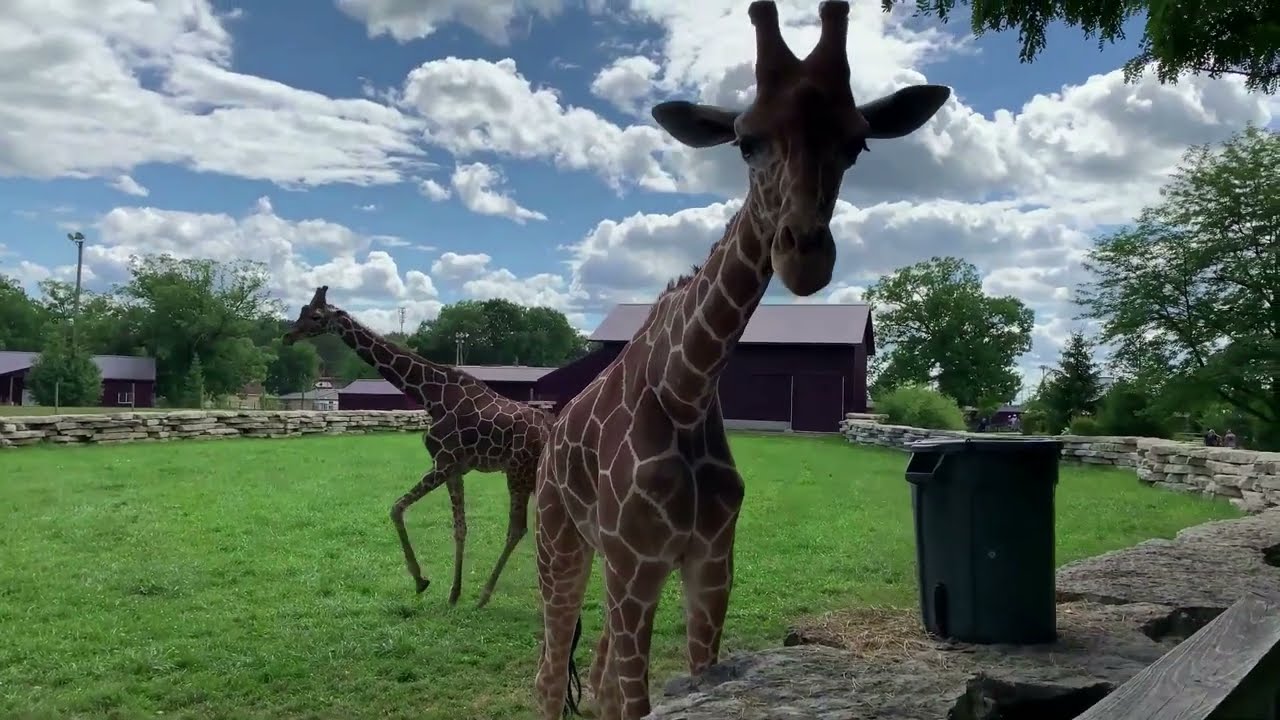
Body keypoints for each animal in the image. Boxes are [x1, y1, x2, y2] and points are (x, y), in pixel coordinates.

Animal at [283, 286, 551, 608]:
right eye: (302, 309)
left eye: (316, 316)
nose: (288, 336)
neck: (431, 395)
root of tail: (550, 429)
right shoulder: (454, 468)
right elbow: (460, 527)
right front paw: (452, 592)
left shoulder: (444, 462)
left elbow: (396, 508)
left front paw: (421, 580)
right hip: (533, 475)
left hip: (517, 471)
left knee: (518, 528)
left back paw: (485, 596)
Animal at [531, 2, 951, 718]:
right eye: (746, 141)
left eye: (857, 143)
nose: (804, 255)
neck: (687, 387)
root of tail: (550, 437)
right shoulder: (635, 561)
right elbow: (633, 700)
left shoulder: (711, 562)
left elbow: (686, 682)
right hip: (560, 541)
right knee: (552, 670)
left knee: (597, 675)